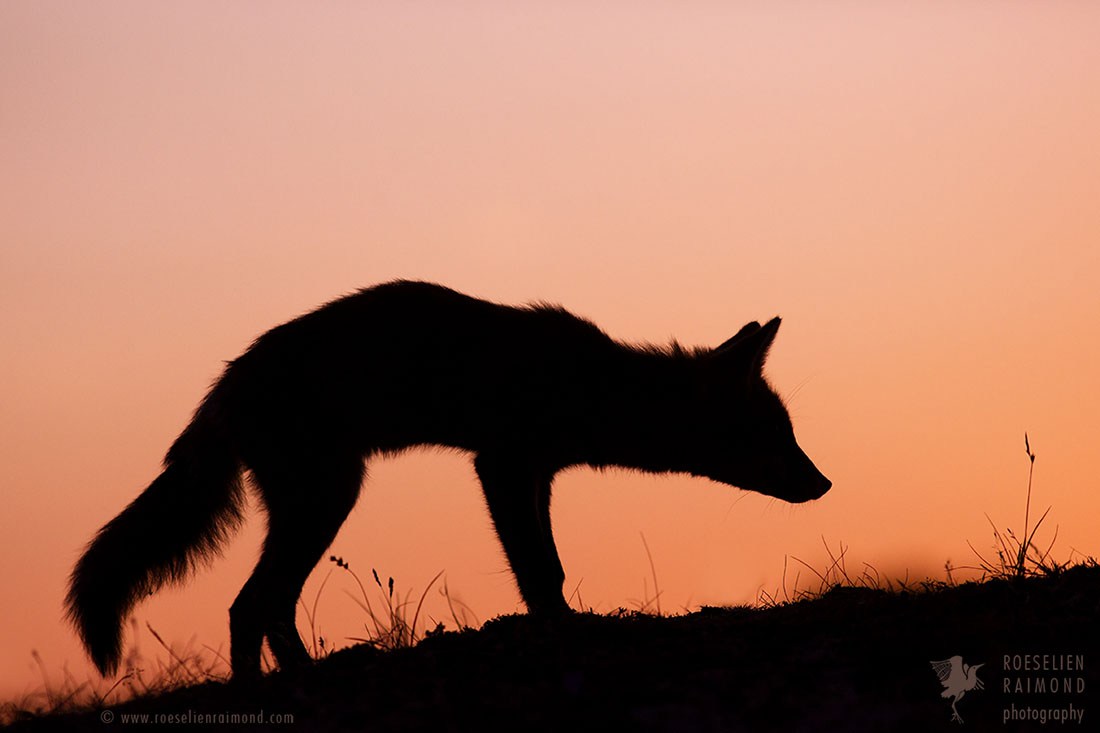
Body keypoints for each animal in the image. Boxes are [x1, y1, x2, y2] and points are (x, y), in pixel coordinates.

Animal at [66, 280, 831, 679]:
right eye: (779, 437)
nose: (824, 484)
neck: (594, 386)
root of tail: (224, 383)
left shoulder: (534, 472)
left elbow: (547, 566)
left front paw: (561, 622)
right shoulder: (502, 463)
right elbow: (539, 570)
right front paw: (559, 630)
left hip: (317, 504)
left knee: (262, 605)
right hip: (327, 500)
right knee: (248, 604)